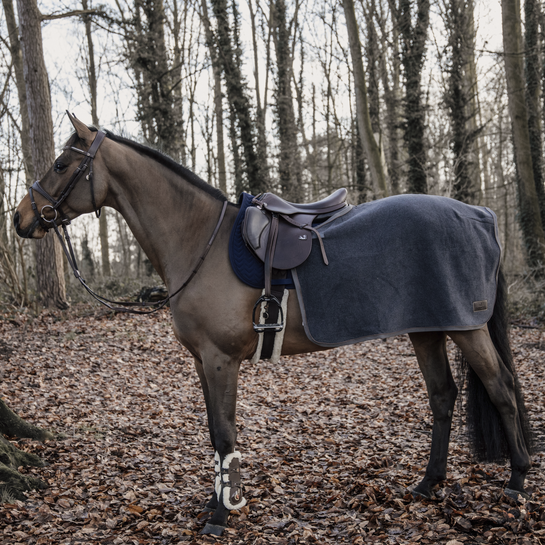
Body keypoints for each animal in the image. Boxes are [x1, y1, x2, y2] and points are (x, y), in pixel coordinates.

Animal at [12, 115, 532, 536]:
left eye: (61, 163)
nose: (19, 219)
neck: (200, 241)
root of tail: (480, 215)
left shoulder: (221, 360)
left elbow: (224, 432)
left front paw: (220, 517)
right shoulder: (203, 361)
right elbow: (214, 432)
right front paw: (218, 502)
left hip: (466, 327)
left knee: (503, 389)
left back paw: (517, 482)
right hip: (427, 328)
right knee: (443, 396)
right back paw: (428, 483)